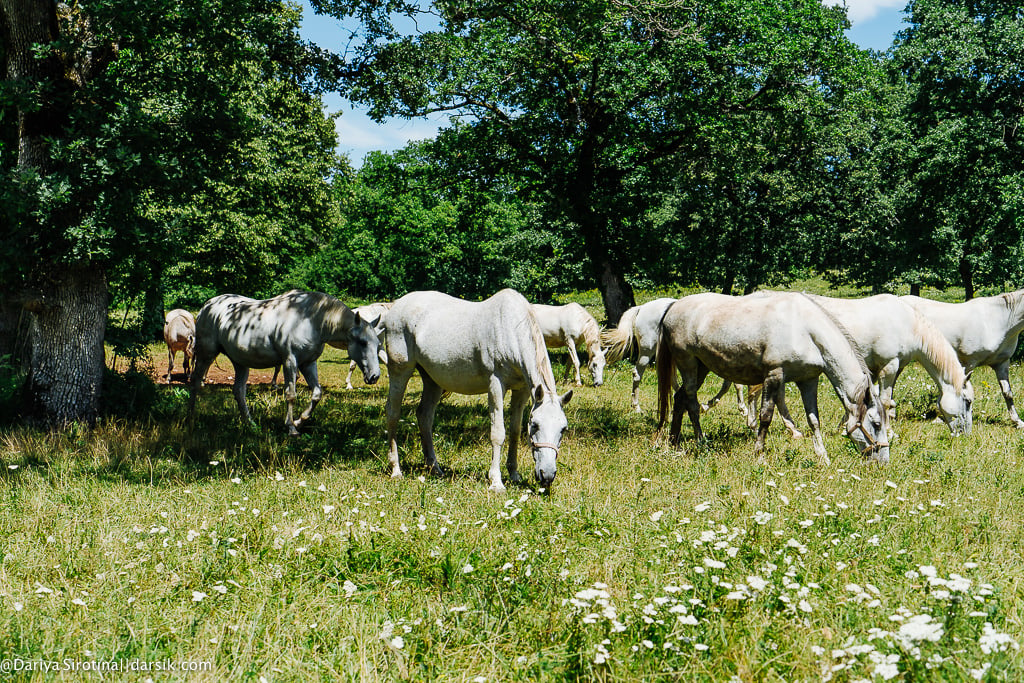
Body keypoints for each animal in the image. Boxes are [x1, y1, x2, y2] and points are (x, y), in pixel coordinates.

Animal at [187, 290, 380, 436]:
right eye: (362, 342)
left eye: (378, 344)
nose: (374, 376)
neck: (311, 320)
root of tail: (207, 306)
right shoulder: (290, 361)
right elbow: (291, 394)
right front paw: (291, 427)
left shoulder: (308, 363)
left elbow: (317, 393)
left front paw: (300, 421)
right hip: (206, 354)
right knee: (195, 382)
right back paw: (191, 418)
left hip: (240, 362)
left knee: (239, 391)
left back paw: (250, 424)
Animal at [385, 288, 573, 491]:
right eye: (536, 425)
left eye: (563, 428)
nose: (547, 476)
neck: (511, 329)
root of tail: (395, 306)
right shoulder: (496, 386)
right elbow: (498, 433)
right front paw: (496, 482)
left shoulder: (521, 390)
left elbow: (515, 430)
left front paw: (514, 474)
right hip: (400, 371)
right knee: (393, 413)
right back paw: (396, 470)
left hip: (432, 380)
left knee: (424, 416)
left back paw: (435, 468)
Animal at [655, 290, 888, 466]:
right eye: (876, 424)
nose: (882, 462)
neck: (805, 330)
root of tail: (673, 307)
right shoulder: (774, 375)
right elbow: (765, 416)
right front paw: (759, 455)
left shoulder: (808, 380)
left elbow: (814, 420)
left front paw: (823, 458)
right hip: (688, 365)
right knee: (692, 403)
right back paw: (701, 442)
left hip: (701, 367)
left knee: (679, 399)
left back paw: (674, 442)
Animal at [905, 290, 1024, 430]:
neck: (998, 320)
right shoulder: (967, 363)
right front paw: (940, 418)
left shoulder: (1001, 364)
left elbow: (1007, 393)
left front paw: (1018, 422)